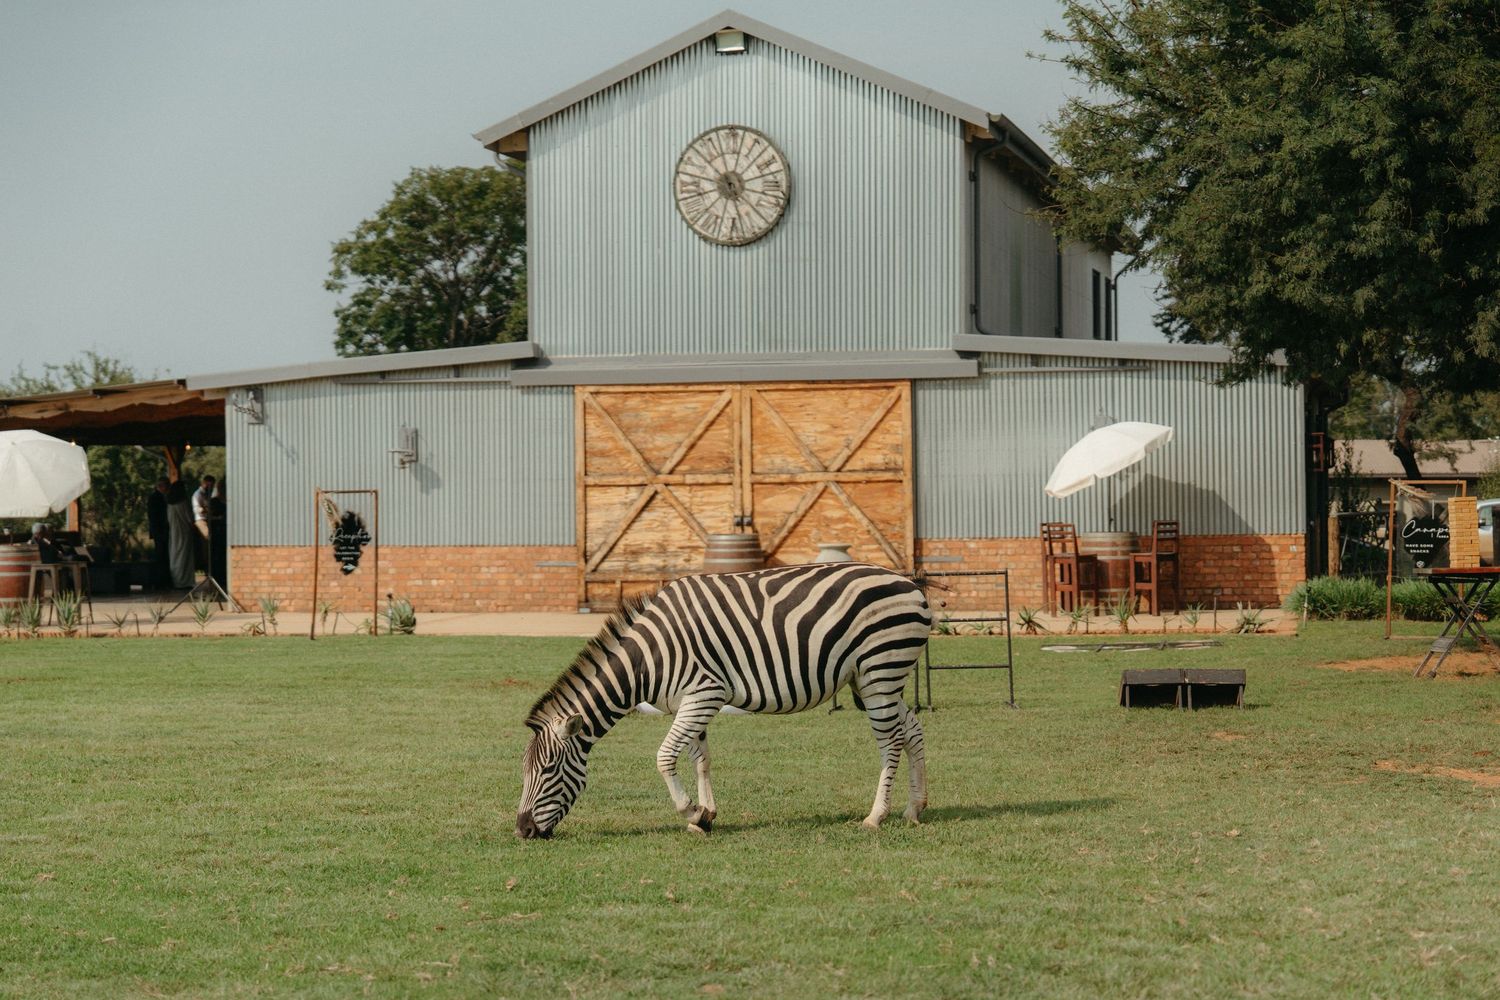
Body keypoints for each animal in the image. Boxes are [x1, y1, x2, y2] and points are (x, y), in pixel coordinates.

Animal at [516, 562, 932, 838]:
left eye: (548, 769)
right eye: (524, 770)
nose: (522, 830)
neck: (649, 658)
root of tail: (907, 582)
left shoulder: (704, 693)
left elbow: (664, 757)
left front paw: (690, 811)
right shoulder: (692, 701)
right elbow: (700, 759)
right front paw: (706, 815)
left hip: (880, 668)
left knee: (890, 741)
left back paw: (876, 816)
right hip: (873, 677)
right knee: (912, 730)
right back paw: (914, 808)